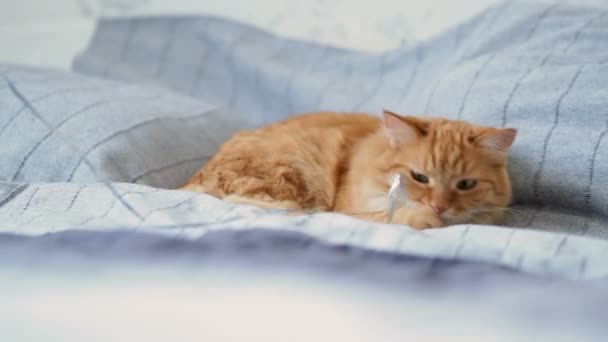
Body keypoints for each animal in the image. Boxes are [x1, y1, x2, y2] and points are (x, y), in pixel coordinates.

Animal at [182, 111, 516, 230]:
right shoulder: (352, 209)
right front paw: (424, 217)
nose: (439, 207)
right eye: (420, 177)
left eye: (466, 184)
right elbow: (396, 215)